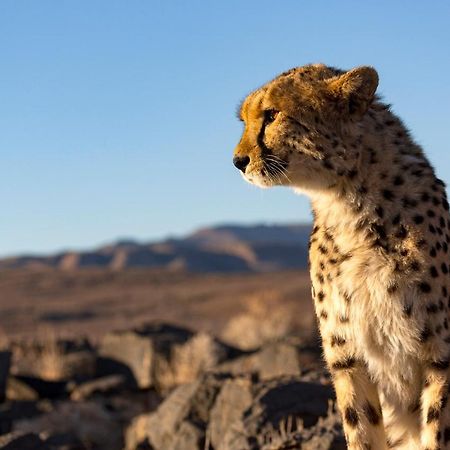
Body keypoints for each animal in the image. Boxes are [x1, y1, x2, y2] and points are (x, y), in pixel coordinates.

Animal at [234, 64, 450, 450]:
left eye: (272, 114)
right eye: (243, 120)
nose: (237, 161)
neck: (349, 204)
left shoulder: (439, 357)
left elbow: (436, 430)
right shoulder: (348, 358)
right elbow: (360, 429)